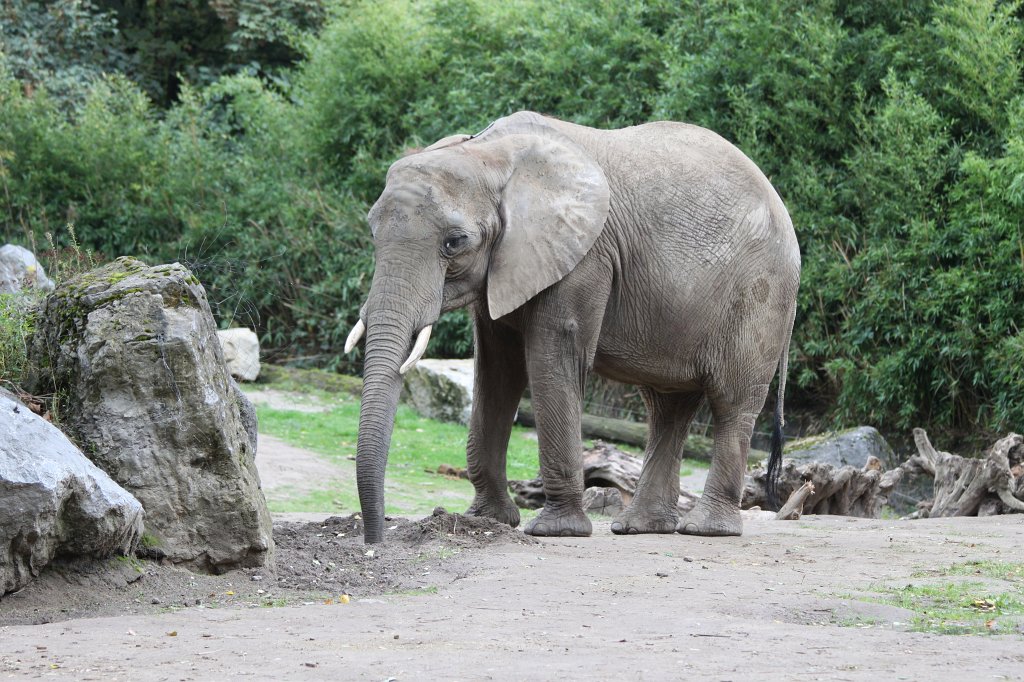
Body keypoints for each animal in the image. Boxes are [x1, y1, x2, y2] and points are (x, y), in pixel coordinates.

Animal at [345, 111, 800, 544]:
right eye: (372, 231)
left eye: (454, 242)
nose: (377, 540)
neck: (489, 153)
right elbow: (497, 370)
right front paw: (484, 520)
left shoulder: (585, 258)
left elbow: (552, 358)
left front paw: (555, 531)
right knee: (667, 406)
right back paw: (639, 527)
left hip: (759, 298)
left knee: (730, 403)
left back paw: (706, 530)